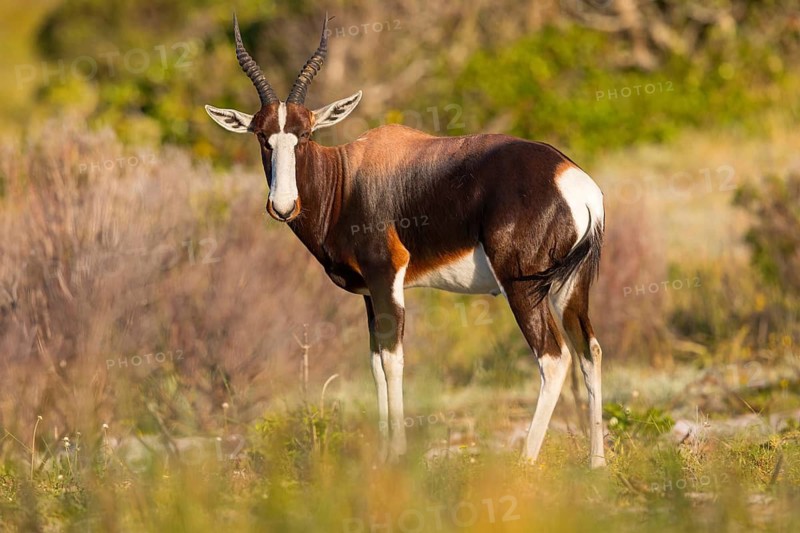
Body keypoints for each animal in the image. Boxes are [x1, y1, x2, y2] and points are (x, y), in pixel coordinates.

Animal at [205, 14, 606, 467]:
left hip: (524, 287)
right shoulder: (368, 293)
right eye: (262, 135)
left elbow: (394, 359)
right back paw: (596, 462)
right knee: (589, 350)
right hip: (570, 287)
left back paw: (524, 462)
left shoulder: (387, 278)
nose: (283, 205)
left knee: (554, 358)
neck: (348, 176)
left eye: (304, 134)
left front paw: (396, 454)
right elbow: (376, 363)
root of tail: (573, 180)